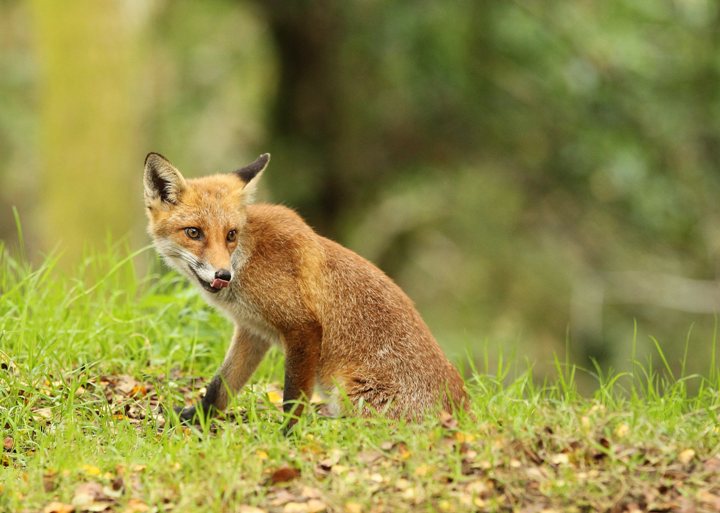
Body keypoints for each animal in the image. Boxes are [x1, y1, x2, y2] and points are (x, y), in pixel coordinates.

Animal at [143, 152, 467, 427]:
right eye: (194, 233)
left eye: (231, 235)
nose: (223, 274)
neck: (248, 258)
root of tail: (462, 412)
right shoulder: (253, 331)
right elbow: (220, 387)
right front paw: (195, 418)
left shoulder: (303, 327)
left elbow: (293, 399)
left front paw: (287, 435)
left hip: (352, 397)